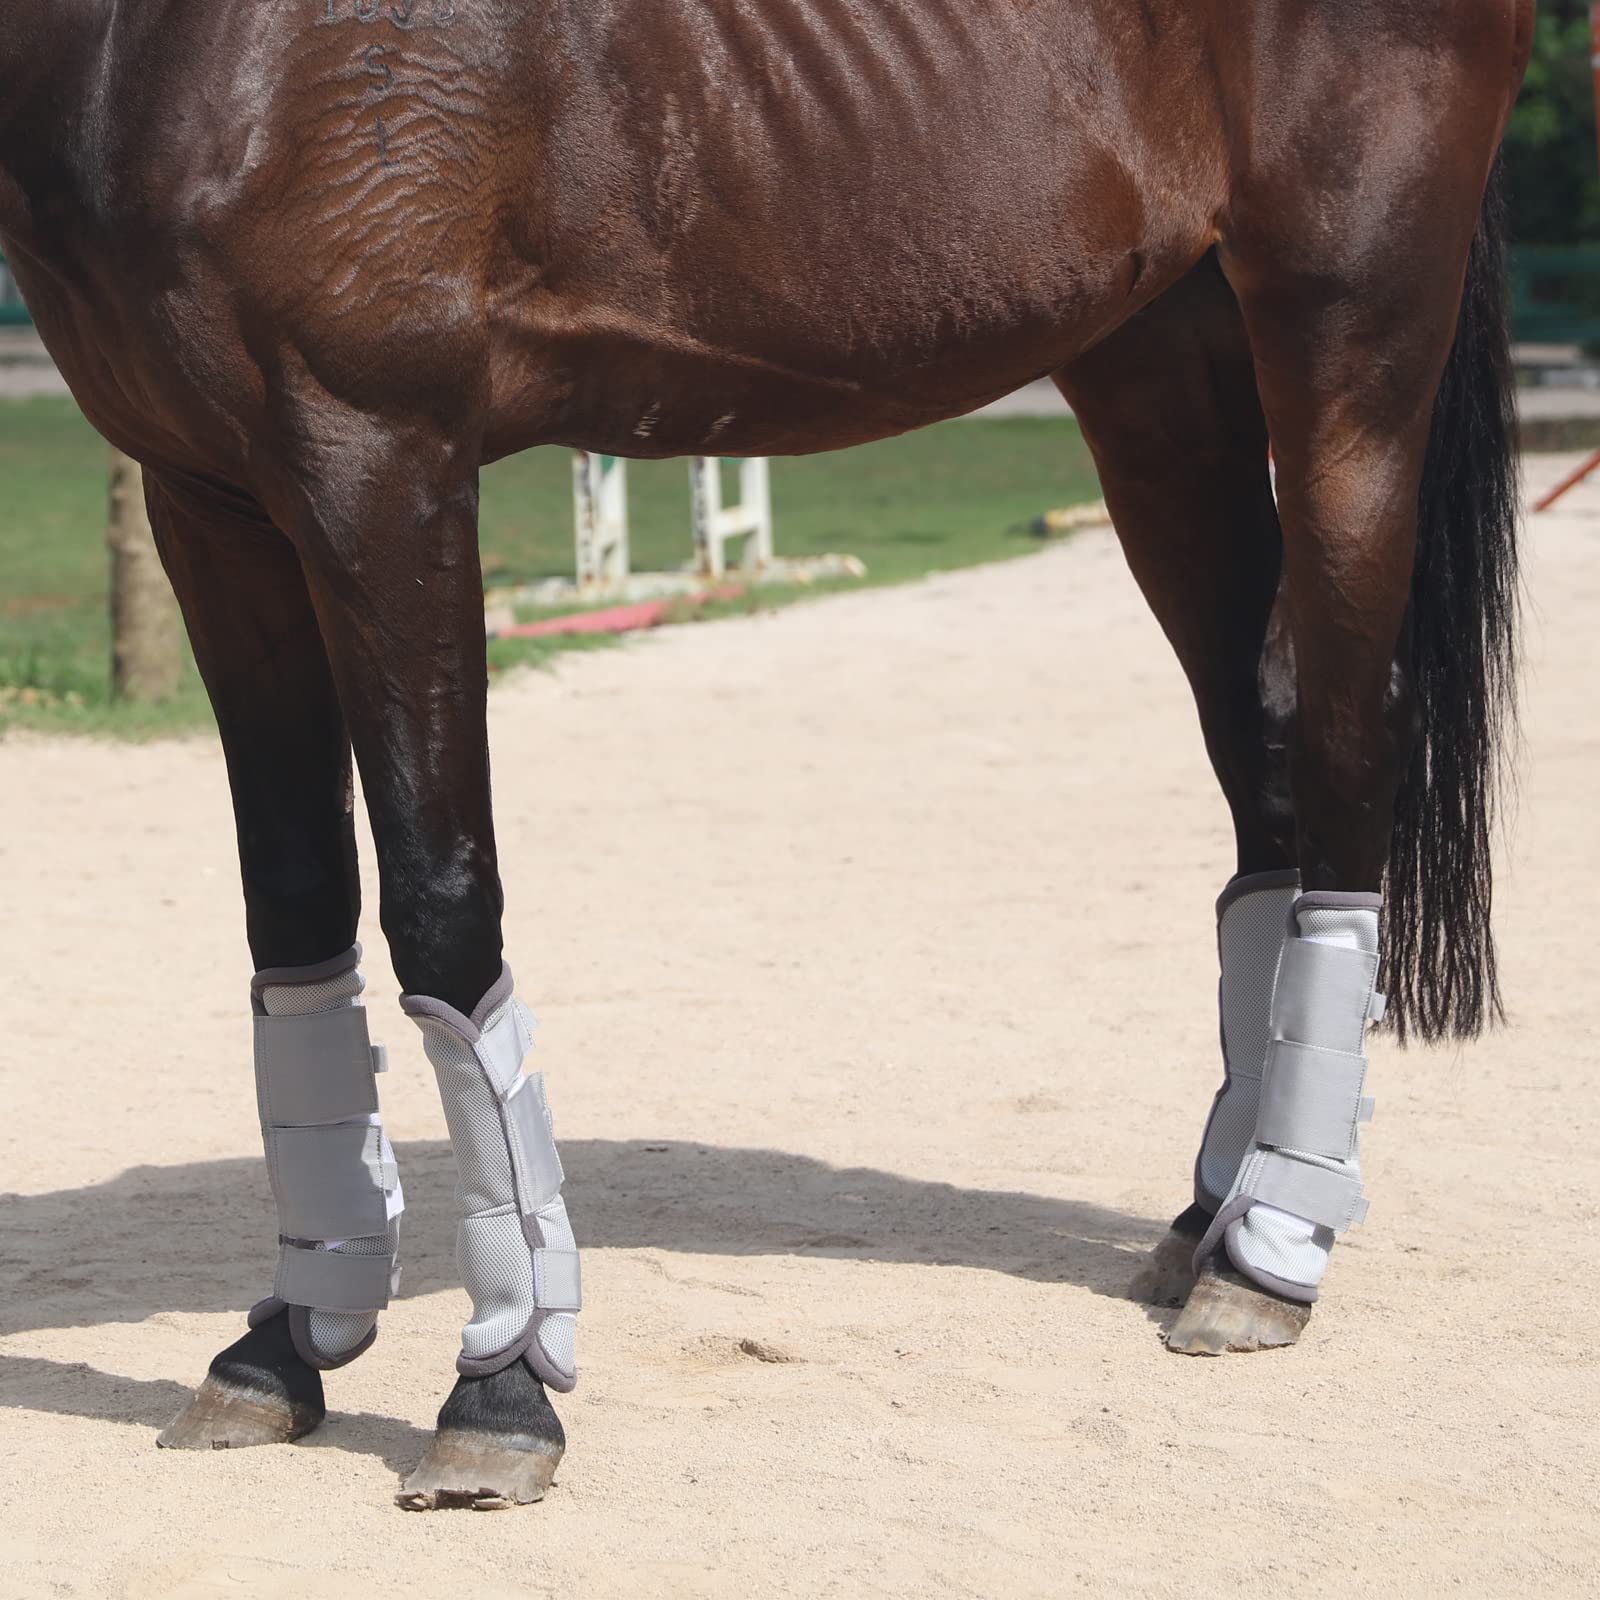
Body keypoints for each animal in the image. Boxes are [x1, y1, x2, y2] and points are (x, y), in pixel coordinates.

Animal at [0, 0, 1529, 1509]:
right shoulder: (210, 501)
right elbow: (295, 903)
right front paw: (292, 1340)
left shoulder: (380, 466)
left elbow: (439, 896)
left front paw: (502, 1387)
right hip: (1161, 366)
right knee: (1264, 754)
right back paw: (1212, 1217)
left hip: (1348, 344)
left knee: (1346, 746)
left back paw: (1271, 1249)